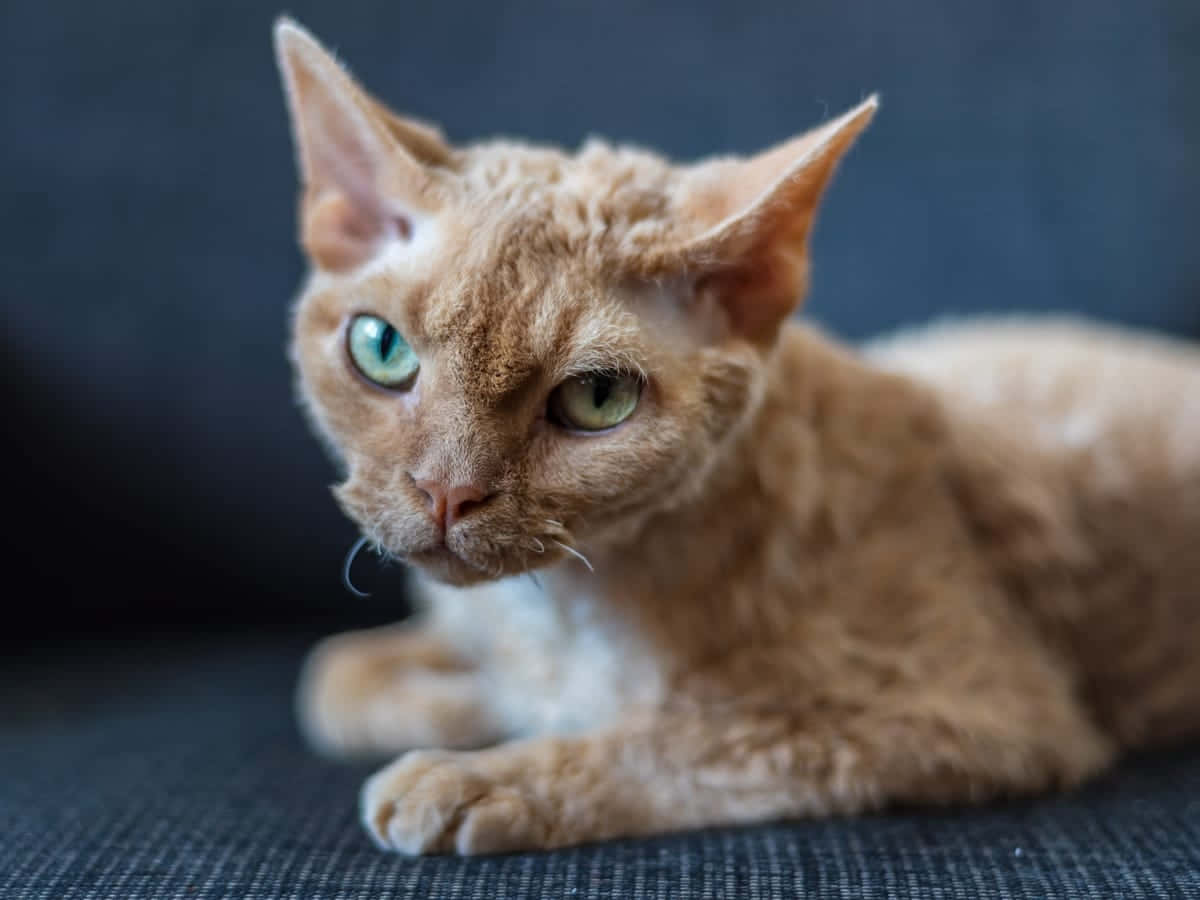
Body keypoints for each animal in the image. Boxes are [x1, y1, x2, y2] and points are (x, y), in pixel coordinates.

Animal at [272, 17, 1200, 854]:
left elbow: (693, 739)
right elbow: (331, 675)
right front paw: (475, 701)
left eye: (597, 399)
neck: (564, 606)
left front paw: (482, 774)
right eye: (381, 351)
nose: (446, 493)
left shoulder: (980, 710)